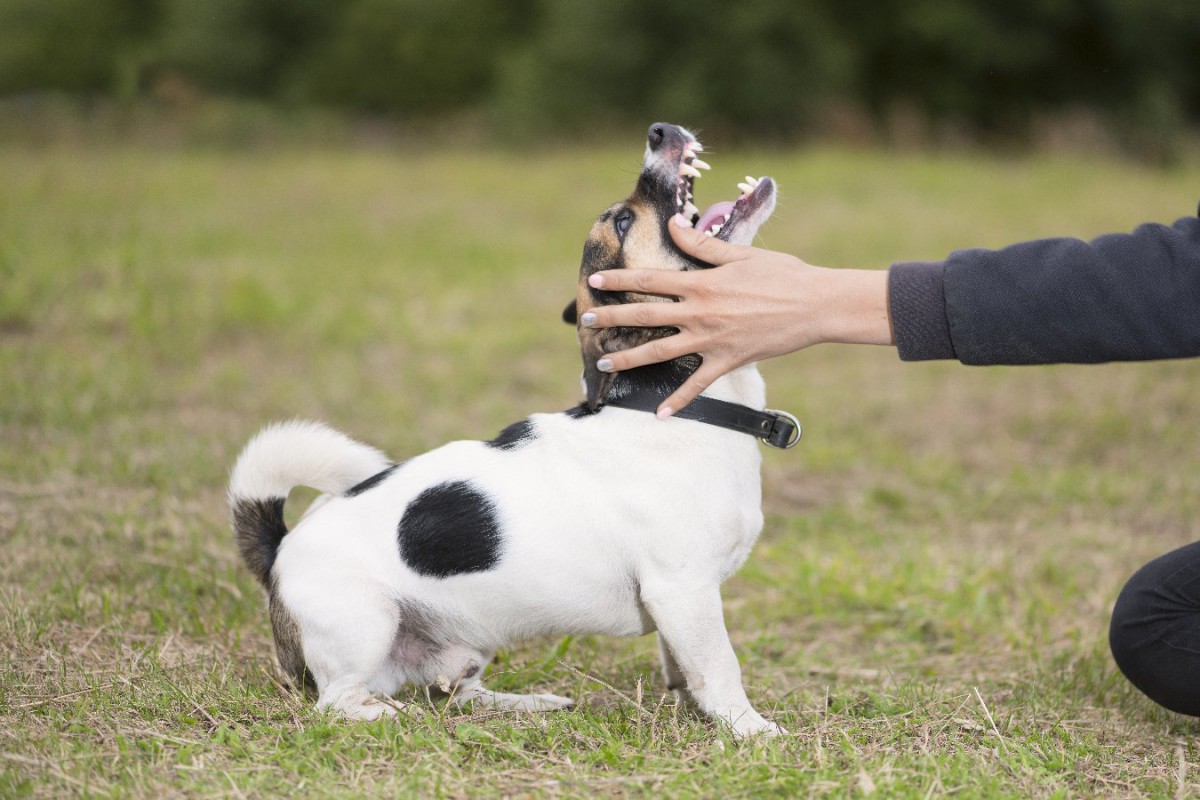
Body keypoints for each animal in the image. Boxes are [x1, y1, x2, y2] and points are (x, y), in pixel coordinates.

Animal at [226, 120, 787, 738]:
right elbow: (719, 666)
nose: (659, 129)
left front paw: (694, 708)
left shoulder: (680, 603)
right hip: (365, 623)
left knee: (458, 695)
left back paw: (525, 704)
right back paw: (386, 713)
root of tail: (278, 548)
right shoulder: (684, 590)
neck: (675, 404)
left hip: (466, 645)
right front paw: (749, 728)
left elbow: (683, 664)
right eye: (622, 221)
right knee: (338, 701)